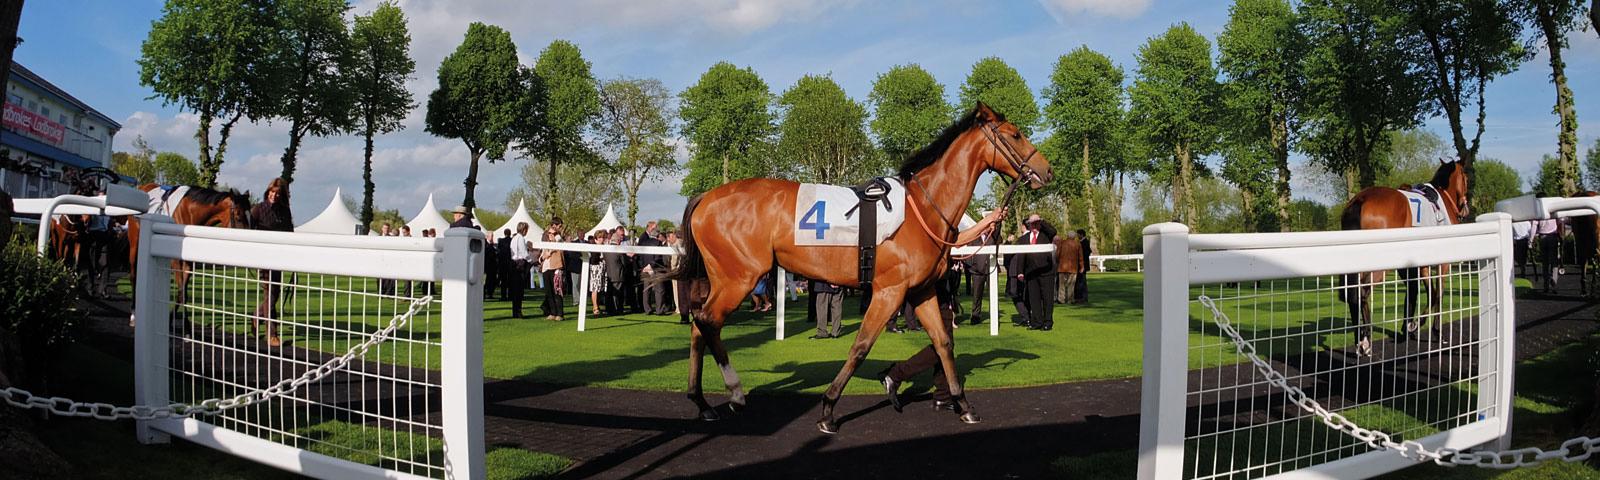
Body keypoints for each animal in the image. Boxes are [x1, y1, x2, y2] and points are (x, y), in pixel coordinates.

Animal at [669, 103, 1052, 434]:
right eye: (1016, 134)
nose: (1047, 170)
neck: (923, 209)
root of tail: (705, 197)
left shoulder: (921, 290)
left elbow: (942, 342)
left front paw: (963, 404)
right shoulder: (889, 290)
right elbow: (861, 345)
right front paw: (828, 409)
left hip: (724, 278)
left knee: (699, 325)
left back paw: (702, 403)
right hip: (741, 276)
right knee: (708, 321)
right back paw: (734, 393)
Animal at [1339, 161, 1469, 356]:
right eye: (1466, 178)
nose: (1465, 208)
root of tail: (1360, 199)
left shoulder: (1418, 265)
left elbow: (1420, 291)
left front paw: (1408, 328)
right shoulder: (1441, 263)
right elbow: (1437, 293)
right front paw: (1432, 331)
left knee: (1355, 293)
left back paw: (1360, 341)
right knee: (1362, 292)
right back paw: (1365, 341)